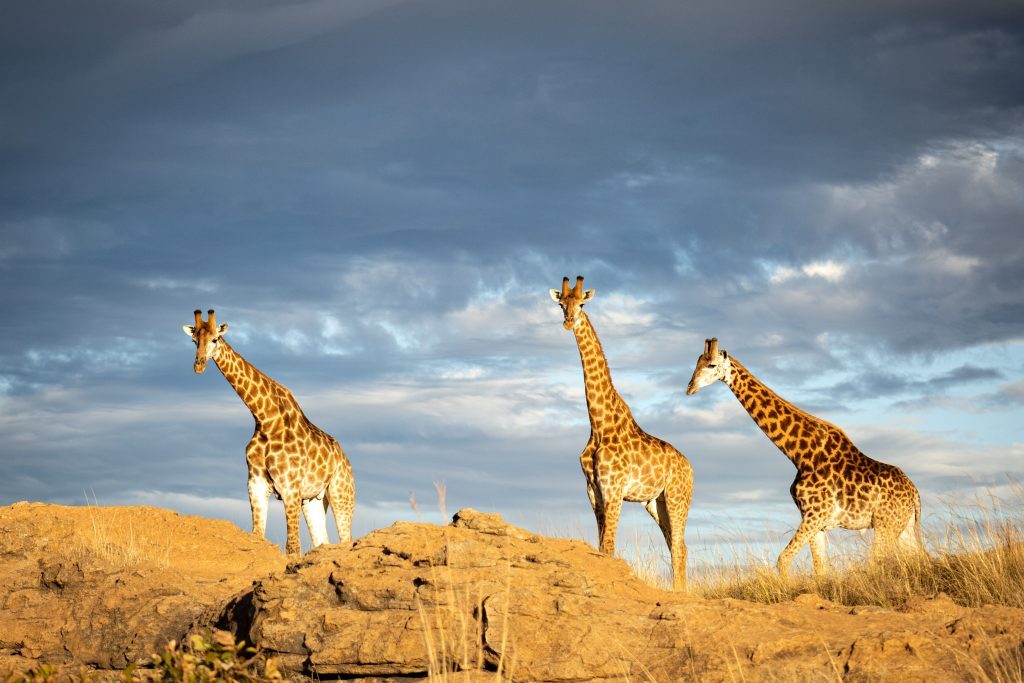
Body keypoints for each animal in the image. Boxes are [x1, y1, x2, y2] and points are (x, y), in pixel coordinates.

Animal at [182, 309, 354, 556]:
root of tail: (346, 460)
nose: (199, 365)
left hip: (341, 493)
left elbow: (292, 546)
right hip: (313, 499)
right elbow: (257, 536)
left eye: (215, 339)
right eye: (194, 341)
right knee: (323, 541)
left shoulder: (290, 487)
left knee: (346, 539)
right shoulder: (256, 483)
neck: (265, 419)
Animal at [551, 276, 694, 591]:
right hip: (655, 502)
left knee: (679, 545)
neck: (598, 424)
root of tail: (691, 468)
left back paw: (680, 593)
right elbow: (602, 547)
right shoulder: (593, 490)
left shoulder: (613, 488)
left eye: (582, 304)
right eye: (561, 304)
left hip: (678, 498)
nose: (568, 321)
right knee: (677, 545)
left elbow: (609, 546)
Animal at [686, 338, 923, 576]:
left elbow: (783, 559)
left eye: (712, 365)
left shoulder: (816, 514)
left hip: (886, 525)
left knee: (877, 562)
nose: (689, 388)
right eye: (696, 363)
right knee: (920, 558)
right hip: (903, 527)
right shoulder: (813, 520)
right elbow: (820, 568)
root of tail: (915, 493)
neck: (800, 455)